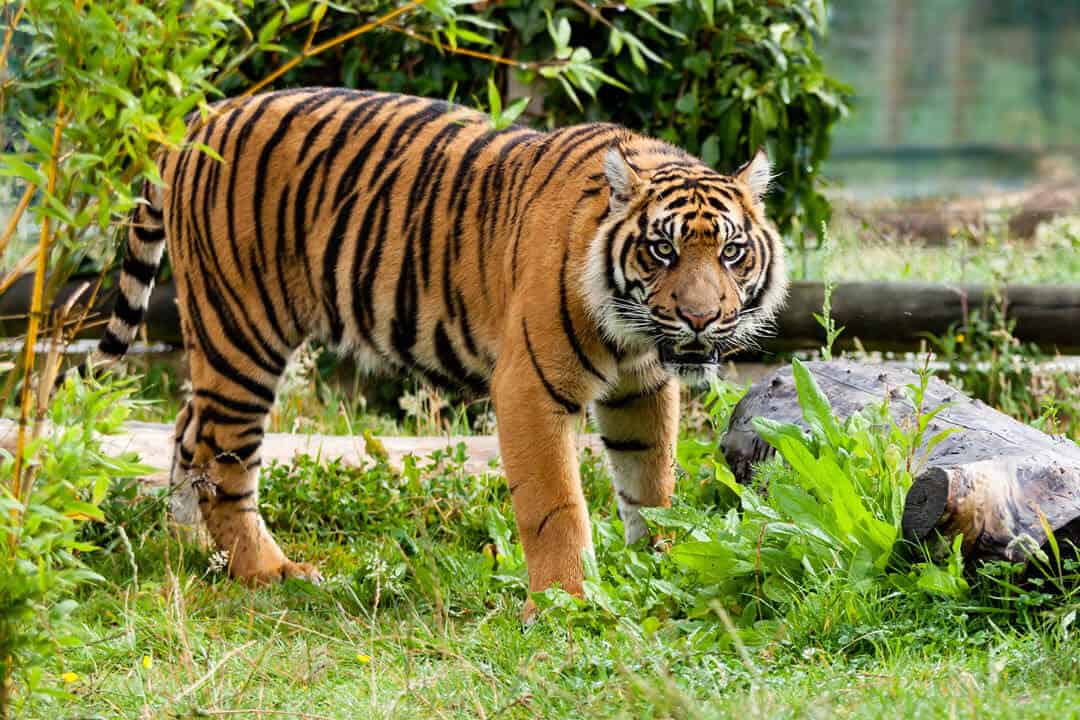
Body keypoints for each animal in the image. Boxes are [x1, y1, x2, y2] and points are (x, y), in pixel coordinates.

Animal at [76, 87, 790, 617]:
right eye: (662, 250)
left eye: (731, 251)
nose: (700, 319)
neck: (630, 328)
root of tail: (200, 119)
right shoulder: (530, 386)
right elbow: (556, 506)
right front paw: (565, 603)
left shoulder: (641, 387)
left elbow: (651, 482)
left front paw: (666, 563)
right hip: (242, 328)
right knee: (220, 454)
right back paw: (268, 571)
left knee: (186, 430)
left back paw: (187, 547)